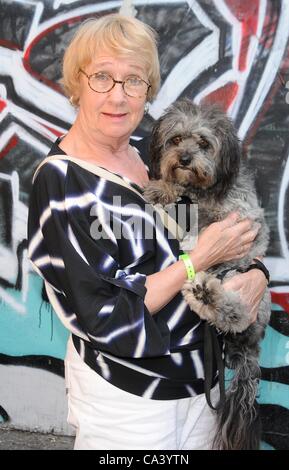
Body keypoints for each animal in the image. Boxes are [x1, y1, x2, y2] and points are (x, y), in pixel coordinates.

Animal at [143, 99, 270, 452]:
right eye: (175, 140)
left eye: (203, 143)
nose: (184, 159)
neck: (203, 191)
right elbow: (177, 190)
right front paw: (162, 186)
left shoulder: (240, 215)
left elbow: (207, 225)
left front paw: (194, 239)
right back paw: (202, 294)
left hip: (241, 282)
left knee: (234, 313)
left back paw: (208, 296)